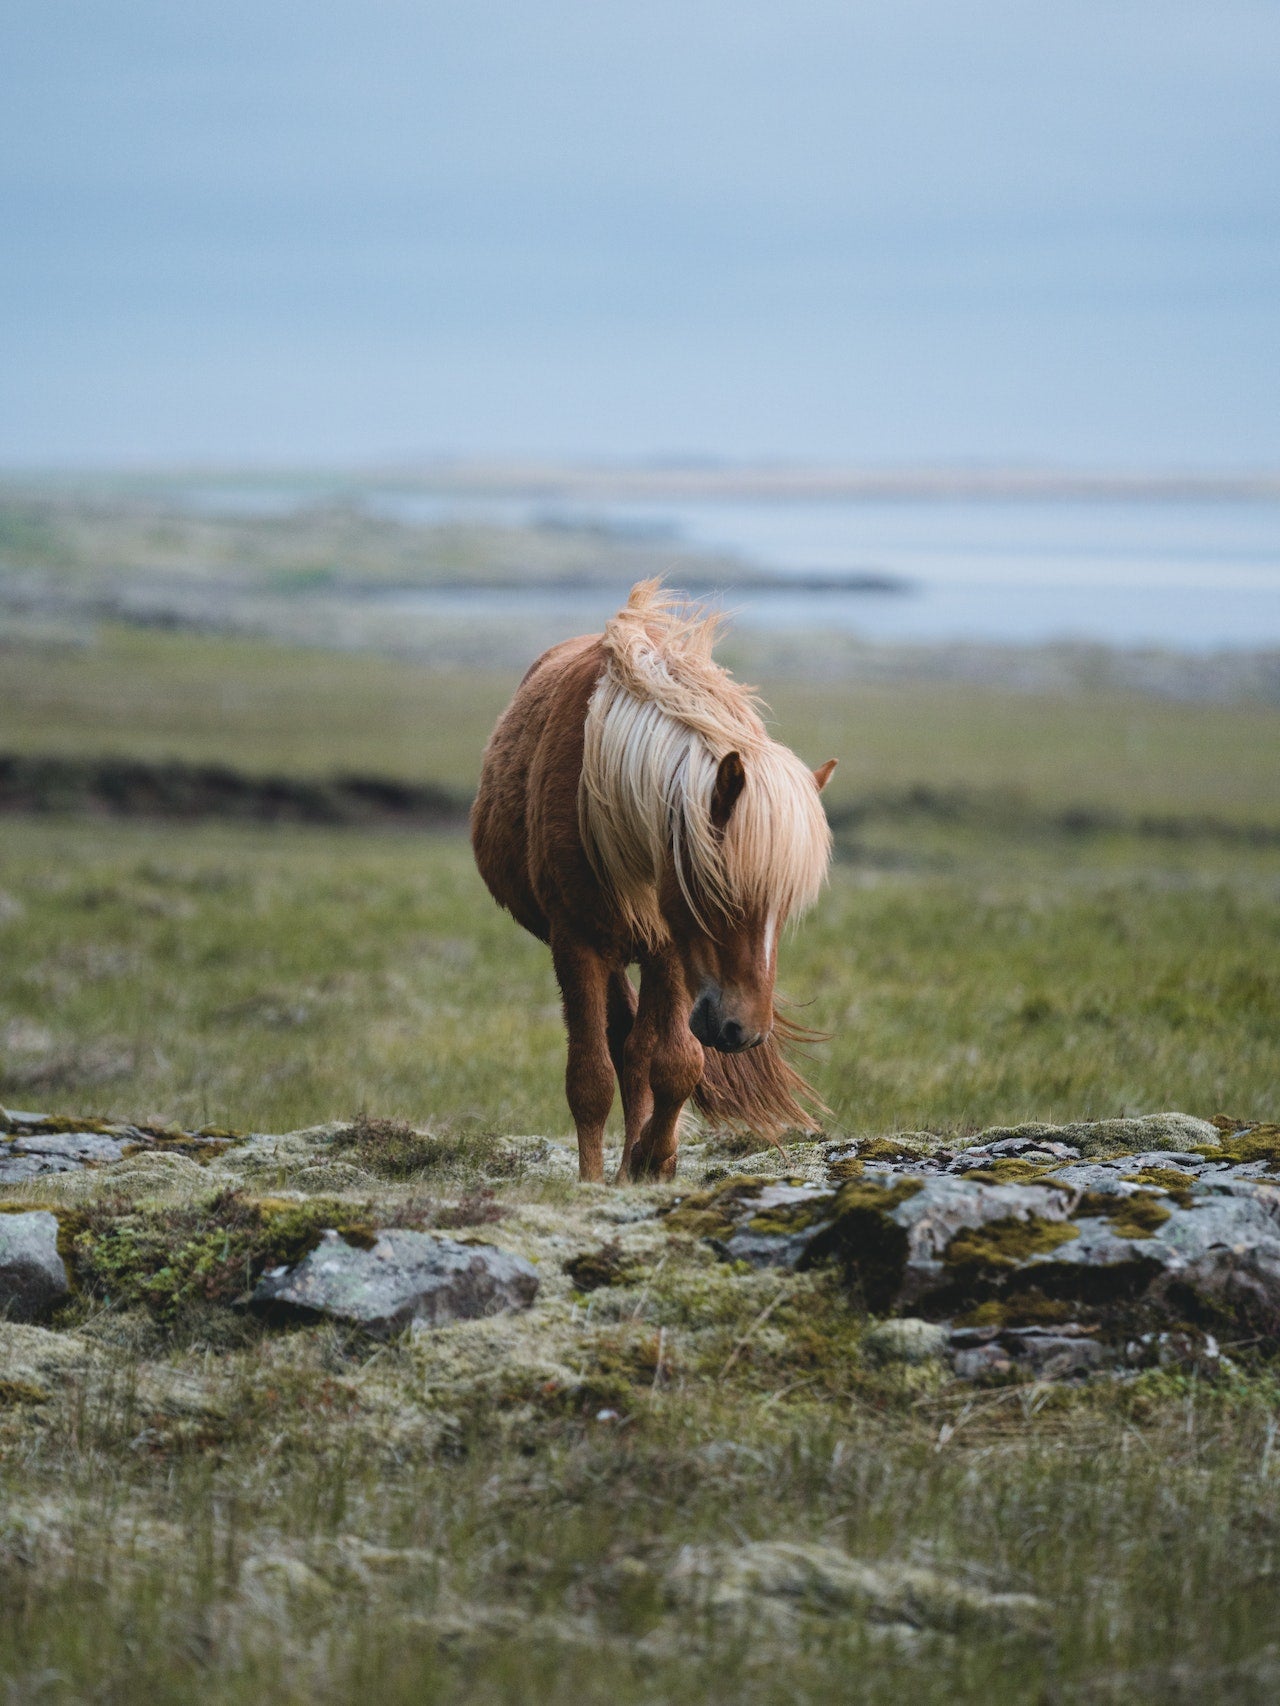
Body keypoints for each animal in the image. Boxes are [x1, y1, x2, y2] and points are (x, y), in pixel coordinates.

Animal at [470, 580, 837, 1183]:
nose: (746, 1031)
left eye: (784, 909)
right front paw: (594, 1180)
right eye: (721, 894)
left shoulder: (669, 949)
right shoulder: (576, 943)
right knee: (620, 1044)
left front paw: (653, 1159)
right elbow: (591, 1078)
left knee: (638, 1048)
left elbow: (674, 1063)